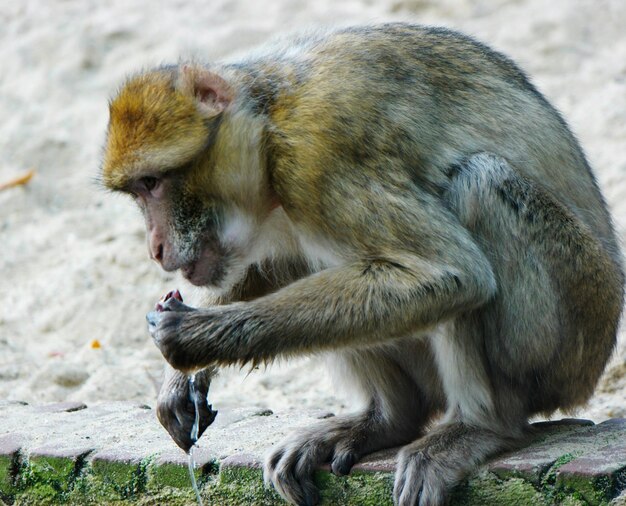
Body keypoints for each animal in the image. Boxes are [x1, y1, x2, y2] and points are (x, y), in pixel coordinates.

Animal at [100, 21, 620, 504]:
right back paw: (388, 420)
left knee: (477, 184)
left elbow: (451, 274)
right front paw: (182, 379)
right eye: (138, 190)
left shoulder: (318, 156)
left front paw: (196, 337)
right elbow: (273, 266)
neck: (268, 124)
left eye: (152, 183)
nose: (155, 248)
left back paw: (481, 427)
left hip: (568, 337)